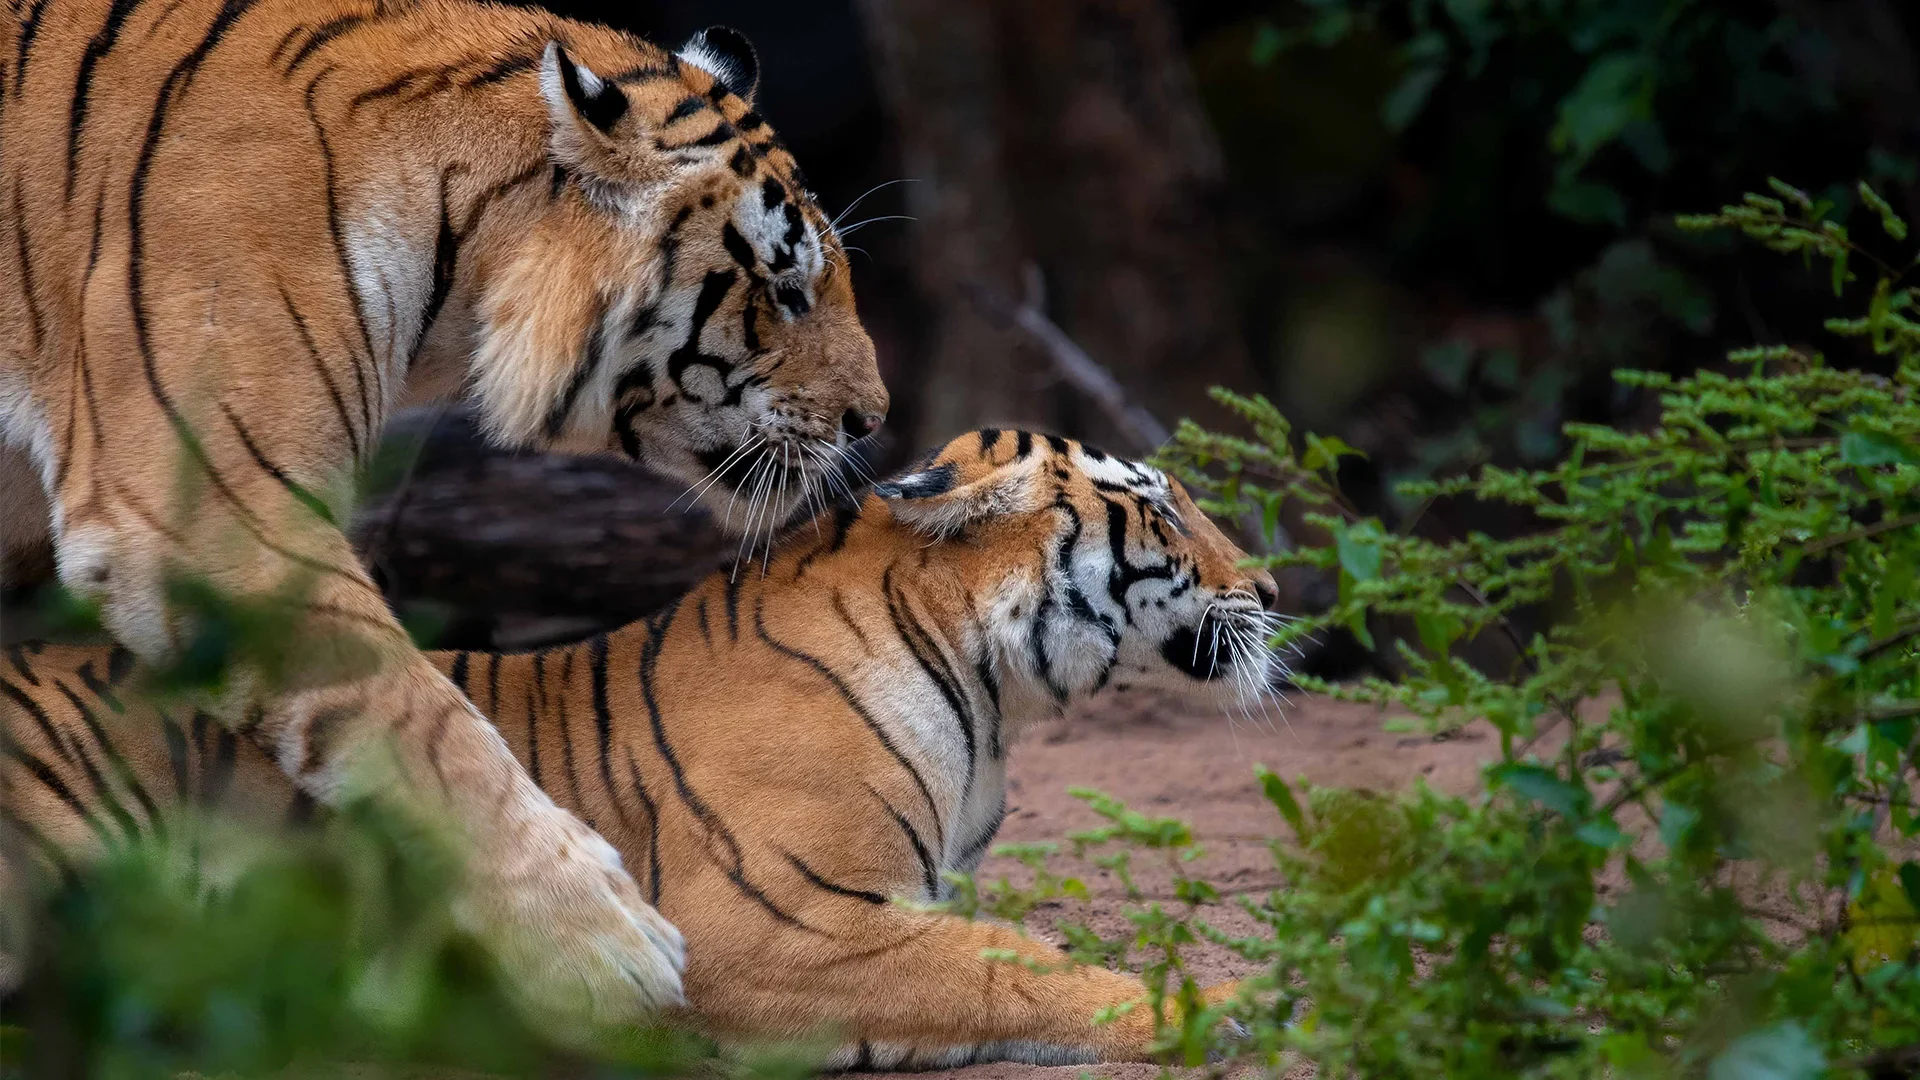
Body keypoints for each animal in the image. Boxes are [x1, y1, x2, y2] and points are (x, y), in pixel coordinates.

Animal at [0, 0, 891, 1022]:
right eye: (786, 291)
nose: (875, 418)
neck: (457, 248)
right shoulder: (207, 502)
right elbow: (420, 719)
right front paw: (608, 949)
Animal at [2, 429, 1285, 1066]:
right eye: (1164, 510)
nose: (1274, 590)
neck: (994, 697)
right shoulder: (765, 922)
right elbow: (1006, 967)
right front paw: (1227, 1005)